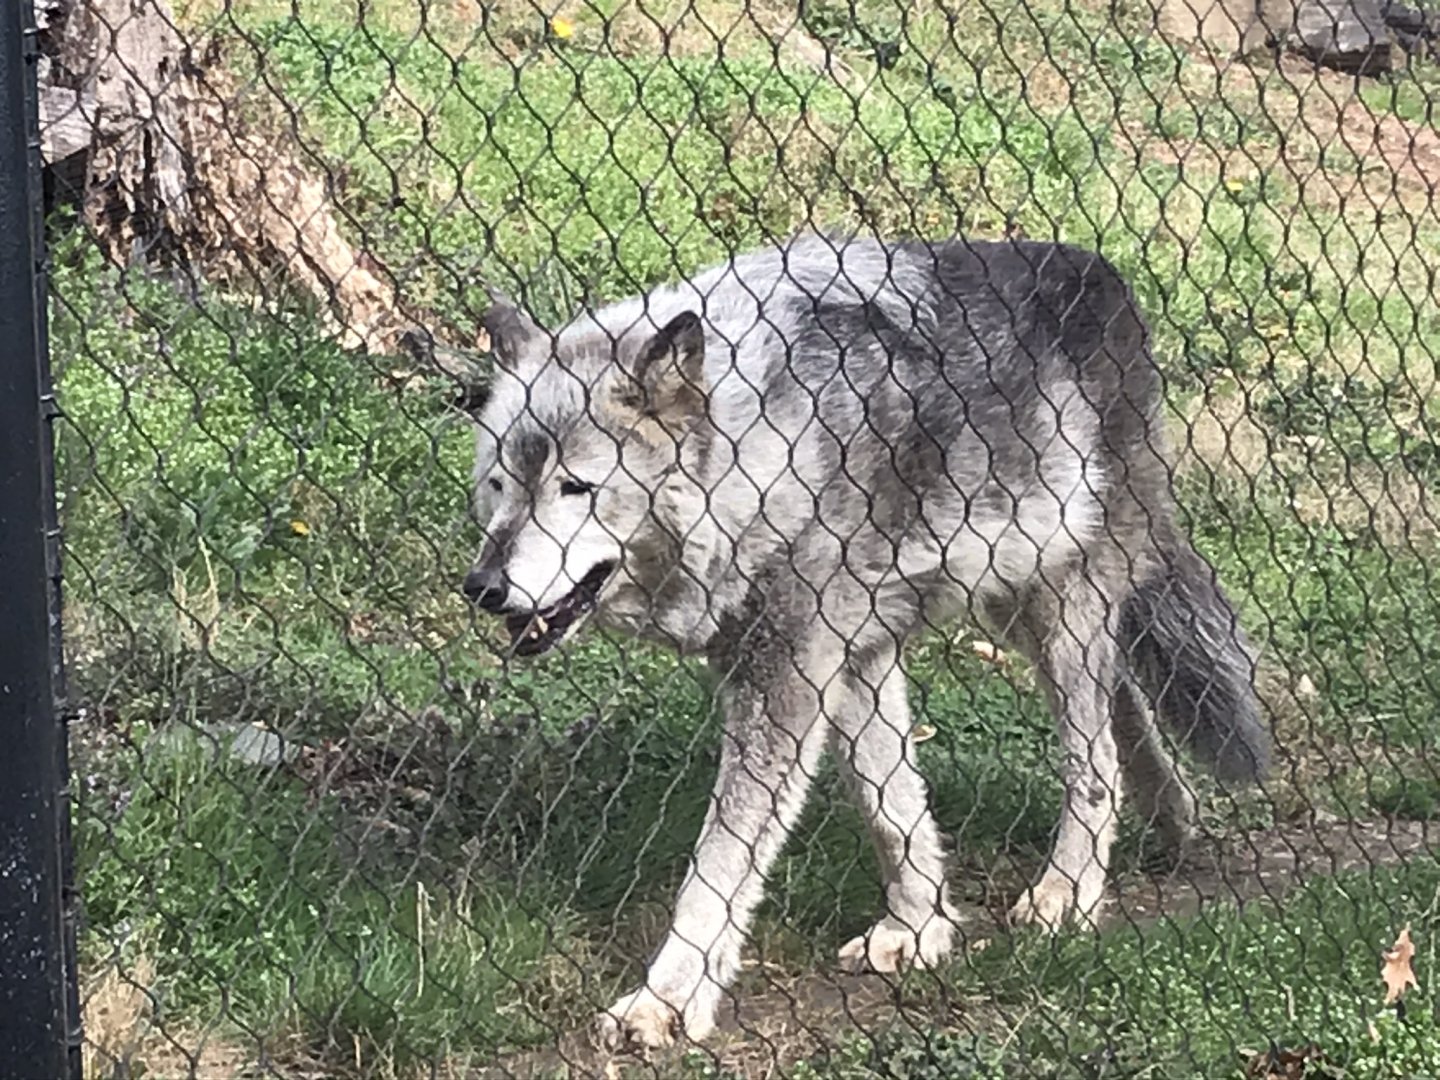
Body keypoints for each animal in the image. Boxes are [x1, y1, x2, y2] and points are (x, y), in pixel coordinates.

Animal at [461, 233, 1269, 1051]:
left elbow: (719, 862)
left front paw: (666, 1000)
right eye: (499, 485)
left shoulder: (789, 675)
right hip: (1019, 610)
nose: (483, 586)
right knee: (1123, 701)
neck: (768, 445)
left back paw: (1067, 894)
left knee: (1094, 757)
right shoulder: (852, 659)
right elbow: (893, 810)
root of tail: (1103, 274)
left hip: (1060, 608)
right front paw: (918, 930)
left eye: (576, 487)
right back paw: (1173, 824)